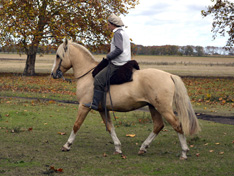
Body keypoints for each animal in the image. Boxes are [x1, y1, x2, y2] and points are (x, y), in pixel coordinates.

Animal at [51, 39, 201, 160]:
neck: (88, 74)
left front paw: (67, 145)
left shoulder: (84, 106)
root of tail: (169, 75)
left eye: (58, 56)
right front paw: (117, 148)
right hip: (153, 107)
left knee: (177, 125)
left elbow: (76, 125)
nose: (53, 74)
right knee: (158, 126)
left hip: (164, 109)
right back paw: (143, 147)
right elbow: (110, 127)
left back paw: (184, 153)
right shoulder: (102, 110)